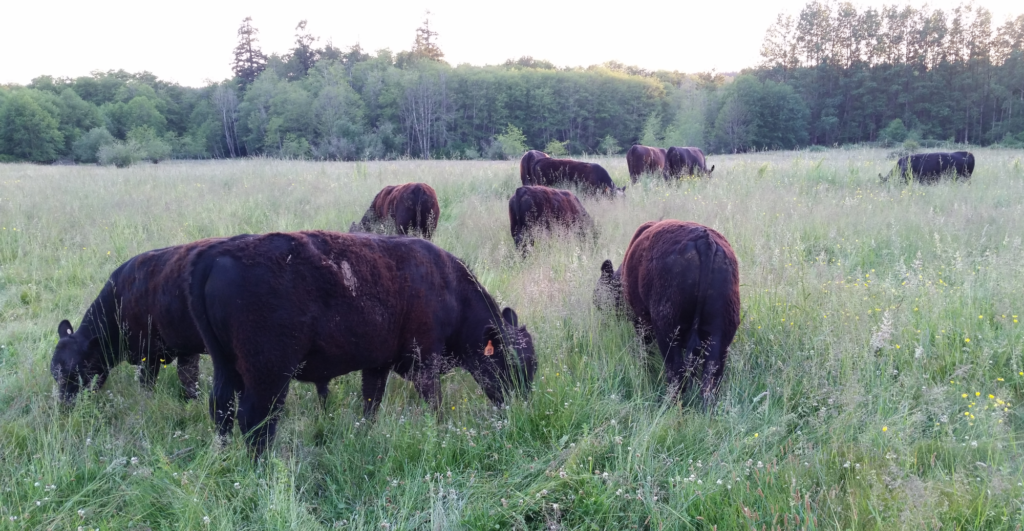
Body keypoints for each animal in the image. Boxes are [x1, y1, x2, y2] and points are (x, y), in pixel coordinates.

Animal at [49, 240, 220, 403]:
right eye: (54, 374)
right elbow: (189, 379)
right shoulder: (185, 349)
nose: (65, 404)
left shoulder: (149, 355)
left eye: (79, 373)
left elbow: (150, 385)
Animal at [188, 230, 536, 454]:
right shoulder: (425, 363)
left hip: (225, 366)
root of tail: (214, 256)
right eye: (512, 362)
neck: (451, 291)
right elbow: (433, 403)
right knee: (255, 418)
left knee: (221, 408)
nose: (521, 406)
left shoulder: (377, 365)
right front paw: (440, 432)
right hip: (270, 373)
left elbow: (371, 403)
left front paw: (366, 434)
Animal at [598, 219, 741, 407]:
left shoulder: (641, 323)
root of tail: (704, 240)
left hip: (668, 332)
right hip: (719, 336)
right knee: (710, 378)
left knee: (676, 373)